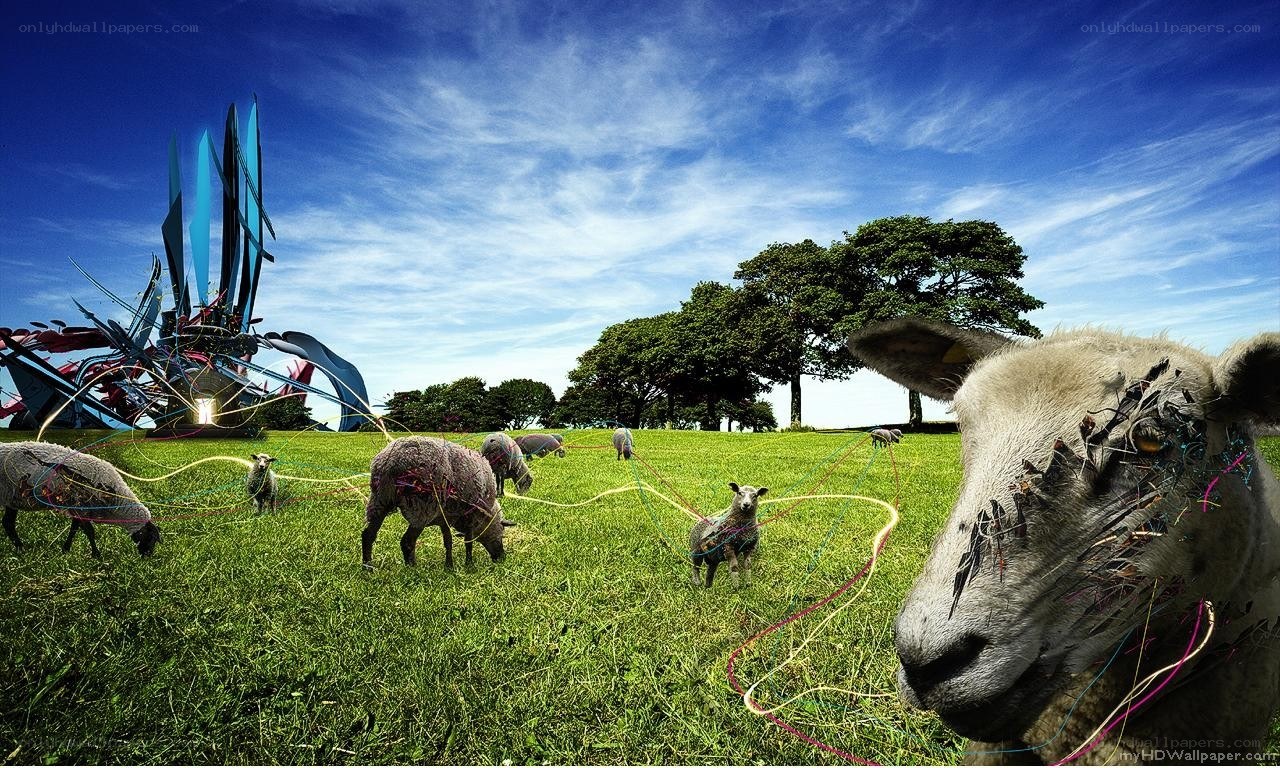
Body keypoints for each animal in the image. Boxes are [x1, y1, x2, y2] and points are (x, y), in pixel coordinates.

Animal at [0, 441, 160, 558]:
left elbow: (74, 529)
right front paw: (96, 555)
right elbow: (89, 531)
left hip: (12, 498)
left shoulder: (77, 509)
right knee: (8, 523)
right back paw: (21, 548)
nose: (147, 556)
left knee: (8, 523)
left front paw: (66, 549)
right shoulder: (81, 507)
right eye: (150, 537)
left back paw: (20, 548)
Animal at [361, 436, 516, 569]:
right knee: (407, 541)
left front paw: (449, 566)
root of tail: (392, 461)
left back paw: (368, 568)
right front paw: (469, 565)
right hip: (421, 506)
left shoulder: (445, 518)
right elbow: (468, 542)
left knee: (368, 535)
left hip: (379, 500)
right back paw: (412, 568)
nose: (501, 557)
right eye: (502, 532)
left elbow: (448, 542)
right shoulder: (470, 517)